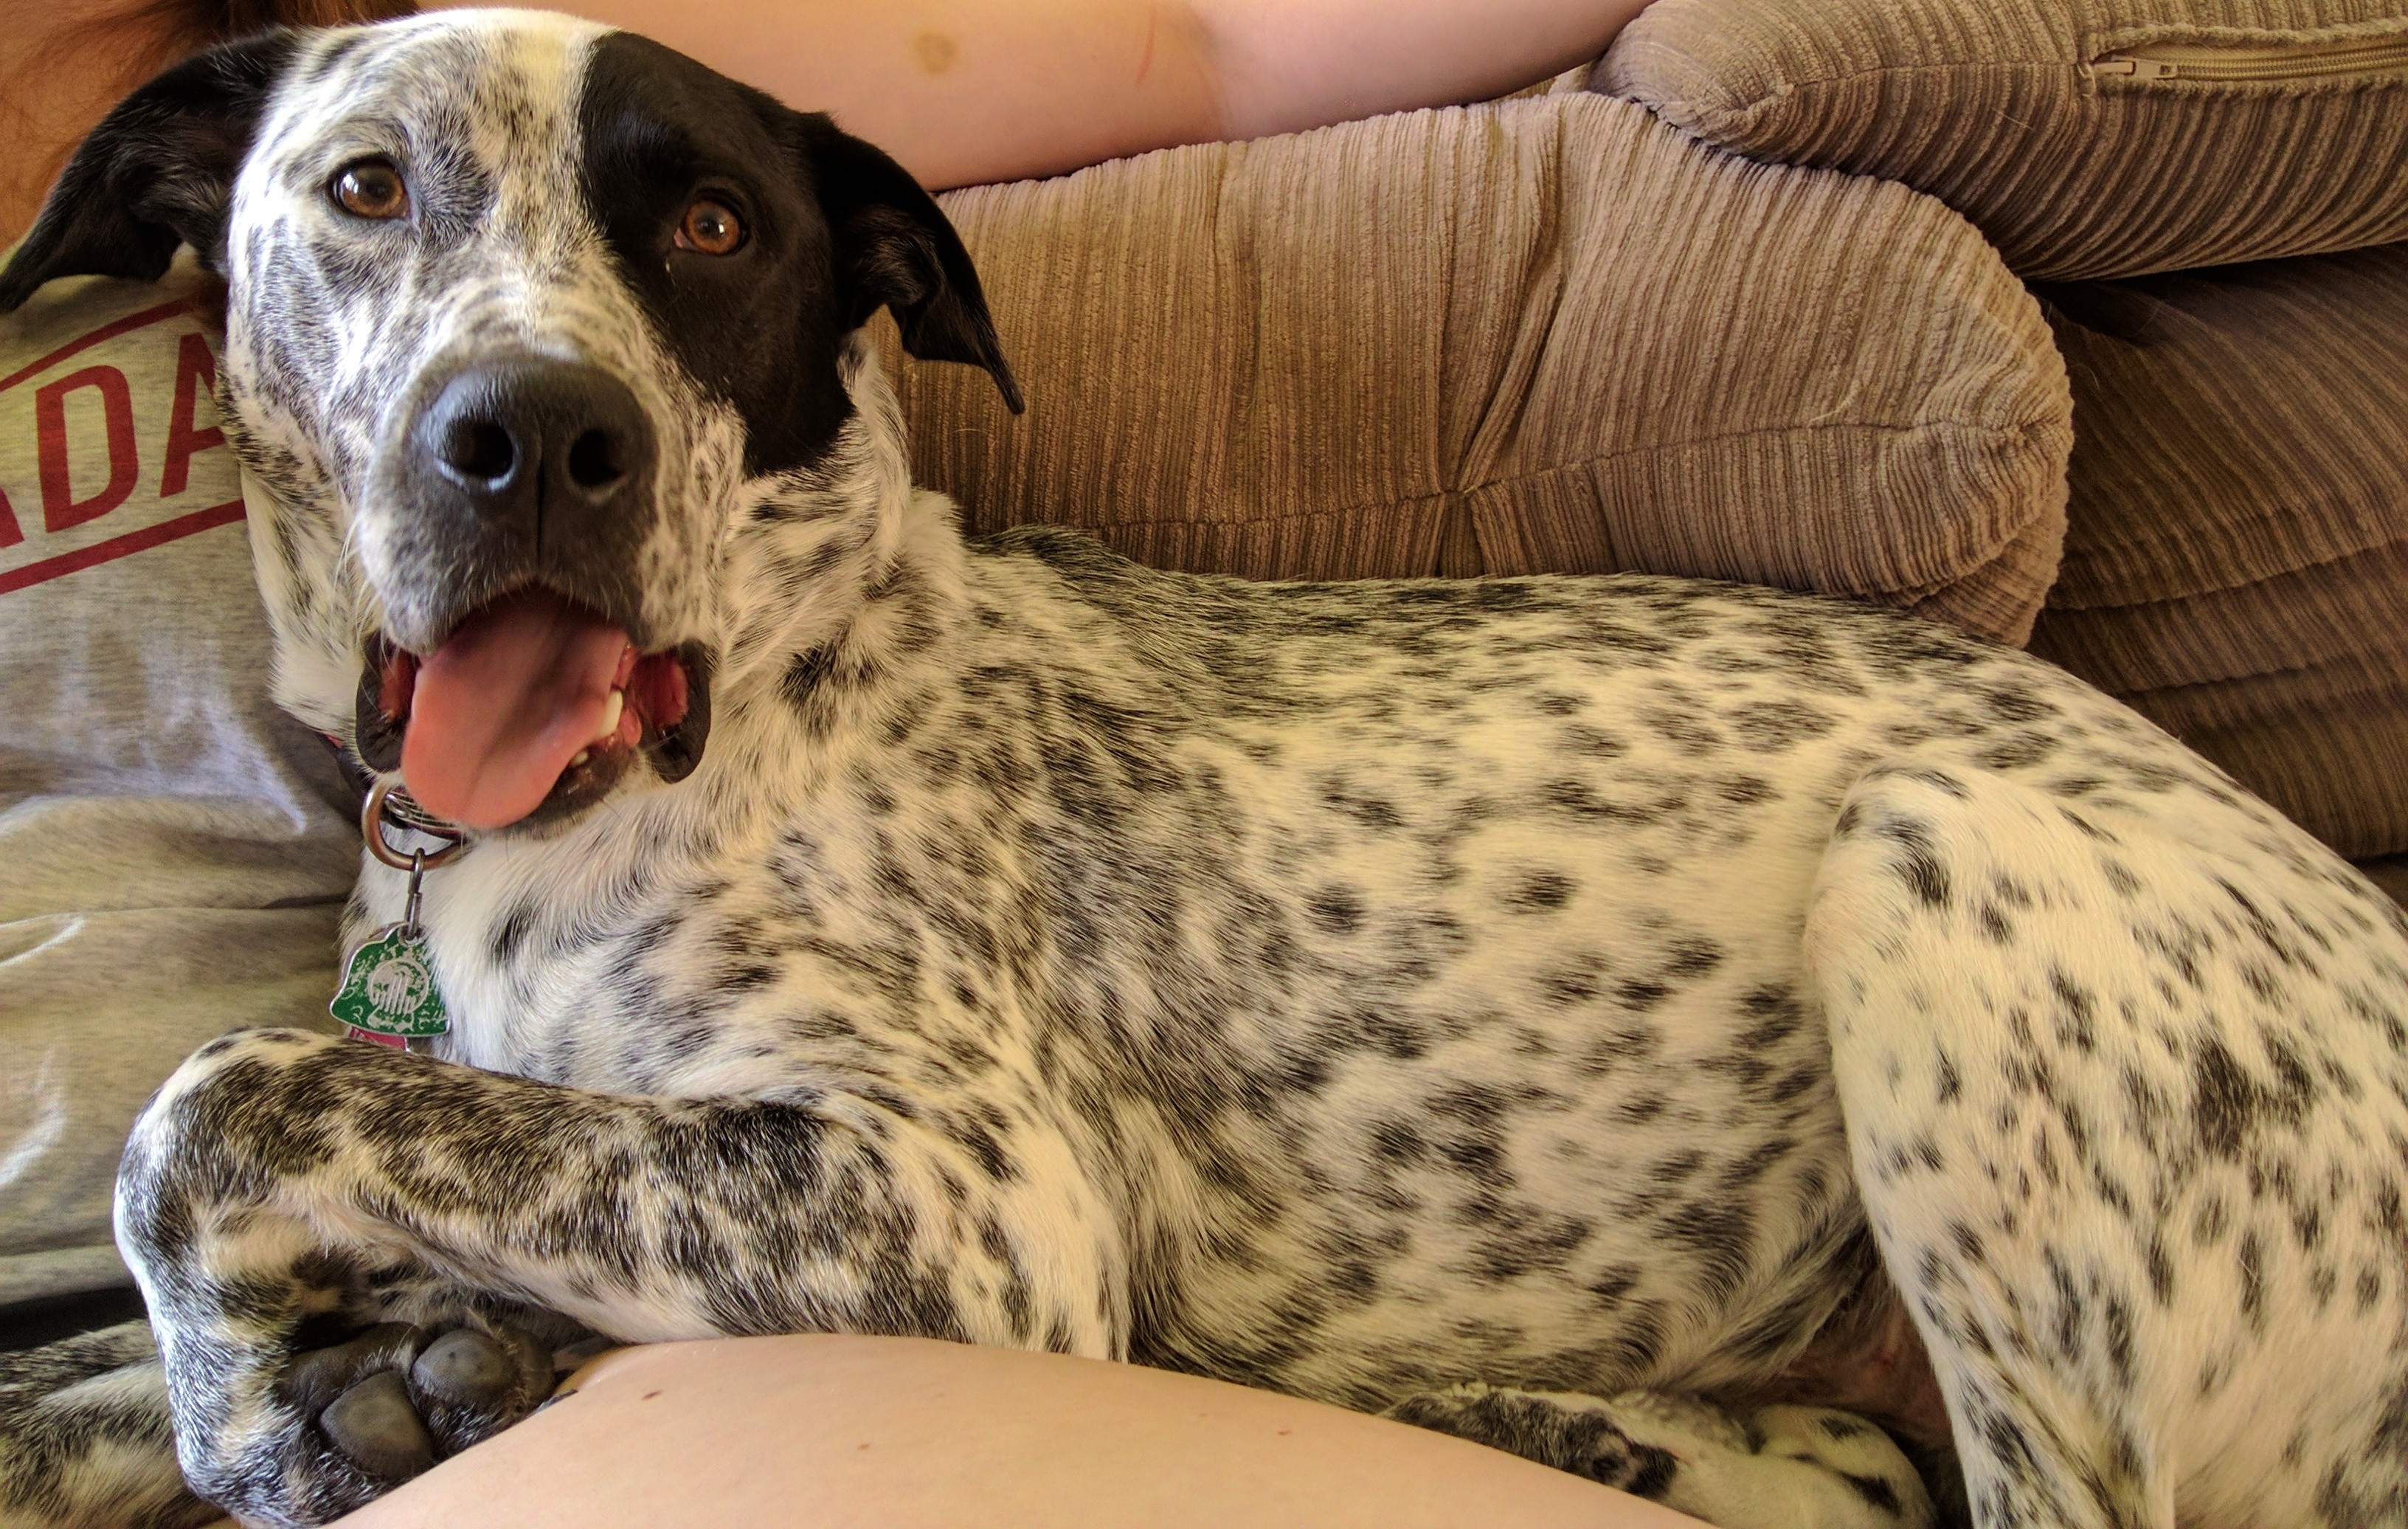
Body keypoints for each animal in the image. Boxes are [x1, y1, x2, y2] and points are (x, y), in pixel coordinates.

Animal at [5, 12, 2408, 1529]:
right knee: (1859, 1475)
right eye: (365, 186)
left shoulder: (964, 1210)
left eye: (709, 228)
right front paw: (325, 1378)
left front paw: (264, 1417)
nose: (529, 440)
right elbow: (76, 1369)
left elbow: (210, 1108)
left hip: (1934, 855)